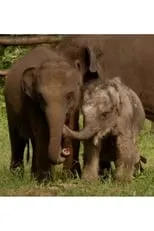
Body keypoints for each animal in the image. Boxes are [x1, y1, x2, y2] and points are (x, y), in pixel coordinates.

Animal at [4, 45, 97, 182]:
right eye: (41, 97)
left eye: (69, 96)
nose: (64, 151)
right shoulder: (33, 103)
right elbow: (43, 134)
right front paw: (46, 181)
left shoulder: (75, 104)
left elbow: (73, 129)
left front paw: (70, 178)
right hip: (10, 108)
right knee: (17, 141)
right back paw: (15, 177)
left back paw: (33, 177)